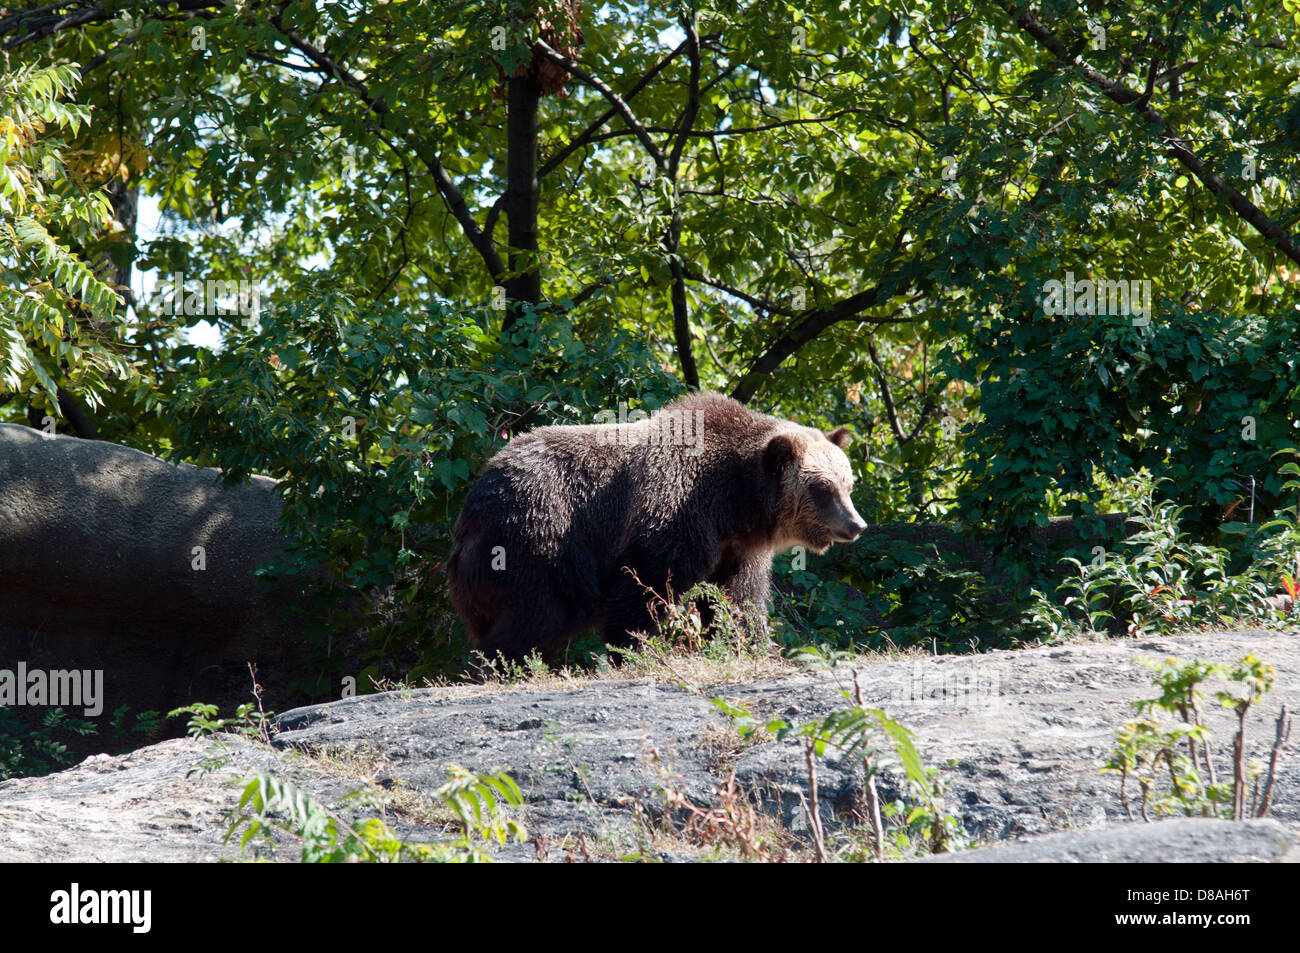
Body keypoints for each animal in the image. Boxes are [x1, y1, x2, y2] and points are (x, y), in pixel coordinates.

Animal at [447, 390, 863, 657]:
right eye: (823, 488)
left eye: (848, 483)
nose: (857, 525)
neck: (734, 501)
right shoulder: (674, 510)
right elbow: (645, 585)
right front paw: (634, 647)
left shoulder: (735, 549)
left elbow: (739, 598)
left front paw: (755, 645)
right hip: (540, 530)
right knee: (540, 609)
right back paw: (498, 660)